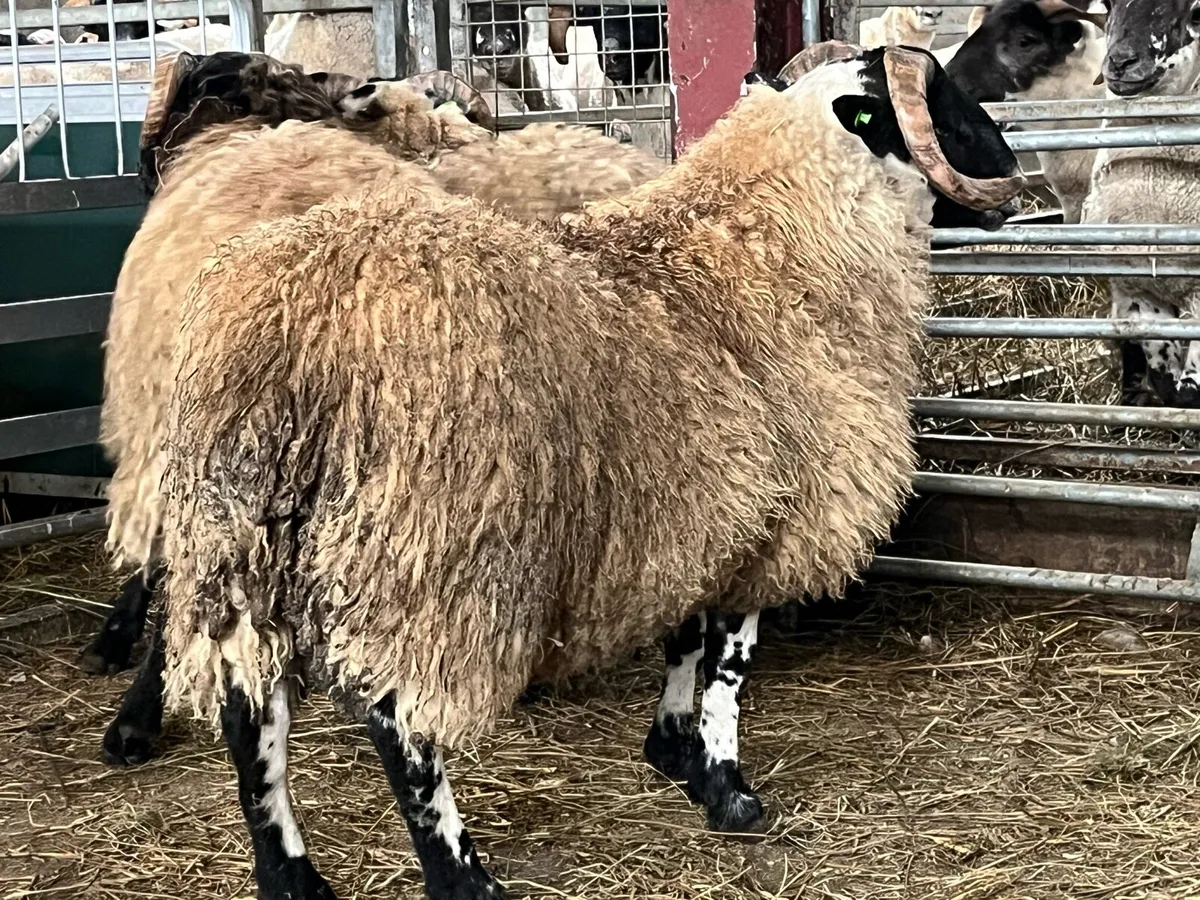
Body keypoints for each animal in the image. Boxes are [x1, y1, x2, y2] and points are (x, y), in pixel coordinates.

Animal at [145, 43, 1022, 898]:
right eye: (940, 106)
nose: (1012, 176)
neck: (765, 248)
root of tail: (299, 318)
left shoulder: (699, 507)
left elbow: (683, 639)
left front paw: (671, 750)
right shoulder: (777, 518)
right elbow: (727, 667)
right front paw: (727, 787)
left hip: (240, 543)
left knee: (248, 711)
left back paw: (290, 876)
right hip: (431, 555)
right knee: (401, 723)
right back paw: (461, 875)